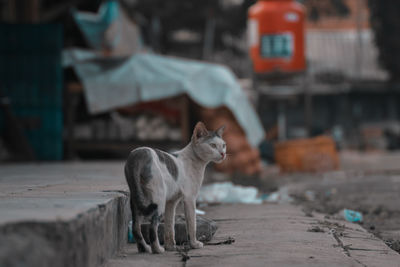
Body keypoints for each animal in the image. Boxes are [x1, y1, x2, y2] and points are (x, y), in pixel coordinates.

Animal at [123, 122, 227, 254]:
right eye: (212, 145)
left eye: (223, 145)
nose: (223, 154)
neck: (196, 162)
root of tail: (138, 153)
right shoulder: (189, 198)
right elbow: (191, 224)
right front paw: (194, 244)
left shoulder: (171, 201)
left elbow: (170, 225)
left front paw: (170, 247)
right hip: (158, 199)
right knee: (152, 227)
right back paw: (157, 249)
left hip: (137, 199)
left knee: (136, 228)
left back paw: (144, 249)